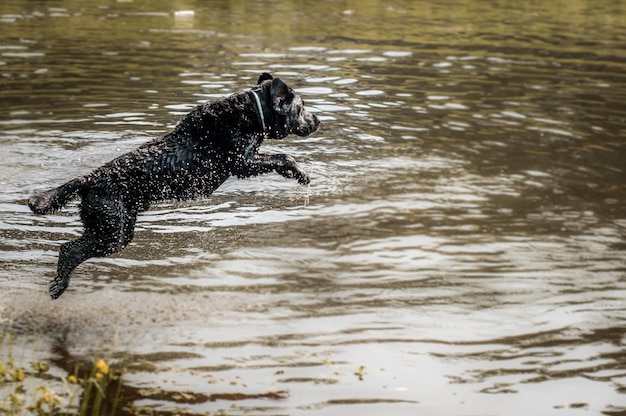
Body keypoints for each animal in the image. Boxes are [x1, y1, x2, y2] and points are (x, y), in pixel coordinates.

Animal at [27, 72, 320, 300]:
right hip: (112, 231)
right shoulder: (242, 162)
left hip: (112, 228)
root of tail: (89, 179)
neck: (250, 113)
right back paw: (59, 286)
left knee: (70, 248)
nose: (319, 121)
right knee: (70, 250)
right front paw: (301, 174)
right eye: (302, 107)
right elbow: (283, 157)